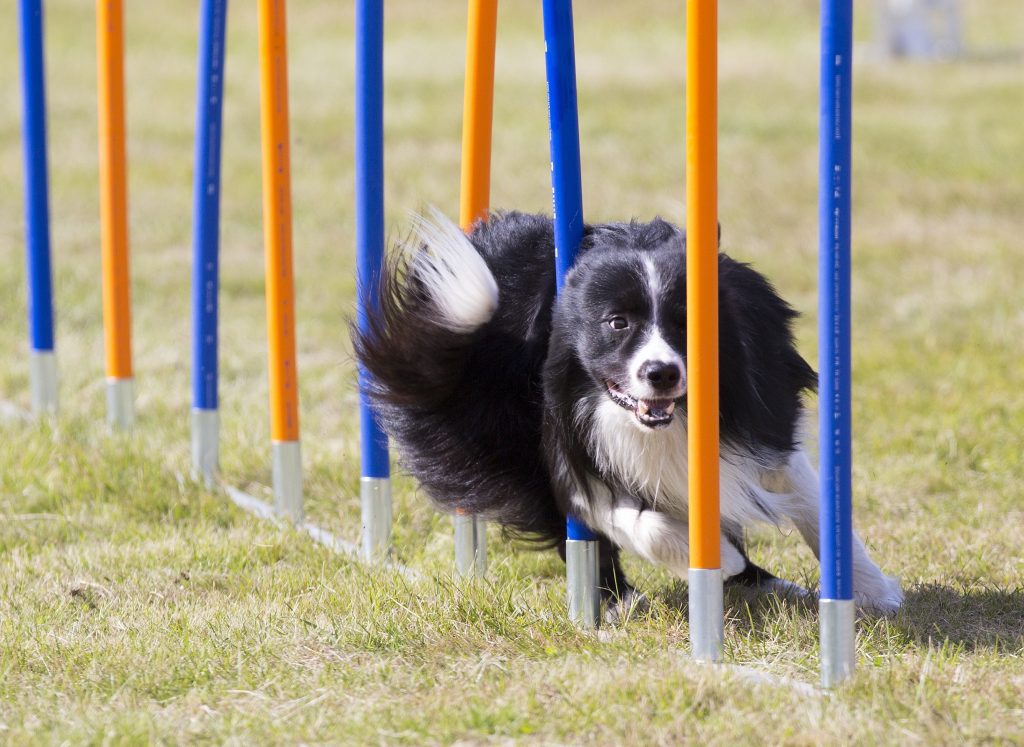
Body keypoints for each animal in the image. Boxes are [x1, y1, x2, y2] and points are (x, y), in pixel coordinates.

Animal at [354, 208, 905, 610]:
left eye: (686, 323)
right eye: (617, 322)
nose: (662, 373)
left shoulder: (763, 420)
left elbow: (814, 507)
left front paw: (873, 592)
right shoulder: (563, 439)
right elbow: (624, 516)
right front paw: (714, 558)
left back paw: (764, 583)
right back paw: (619, 600)